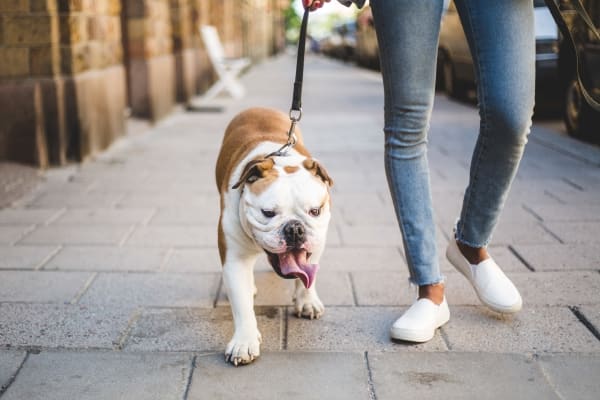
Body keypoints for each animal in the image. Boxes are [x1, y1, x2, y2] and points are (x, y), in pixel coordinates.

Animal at [216, 107, 332, 366]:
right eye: (268, 213)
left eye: (315, 211)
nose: (295, 229)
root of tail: (258, 108)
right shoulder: (235, 259)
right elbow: (242, 305)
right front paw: (244, 341)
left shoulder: (317, 243)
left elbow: (309, 276)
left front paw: (307, 301)